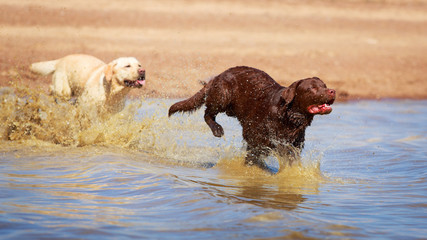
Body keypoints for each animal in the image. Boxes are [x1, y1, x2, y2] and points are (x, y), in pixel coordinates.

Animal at [169, 66, 336, 170]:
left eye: (325, 85)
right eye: (312, 88)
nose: (332, 91)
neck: (289, 115)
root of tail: (218, 75)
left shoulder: (294, 145)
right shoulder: (259, 142)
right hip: (222, 95)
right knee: (208, 113)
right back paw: (217, 129)